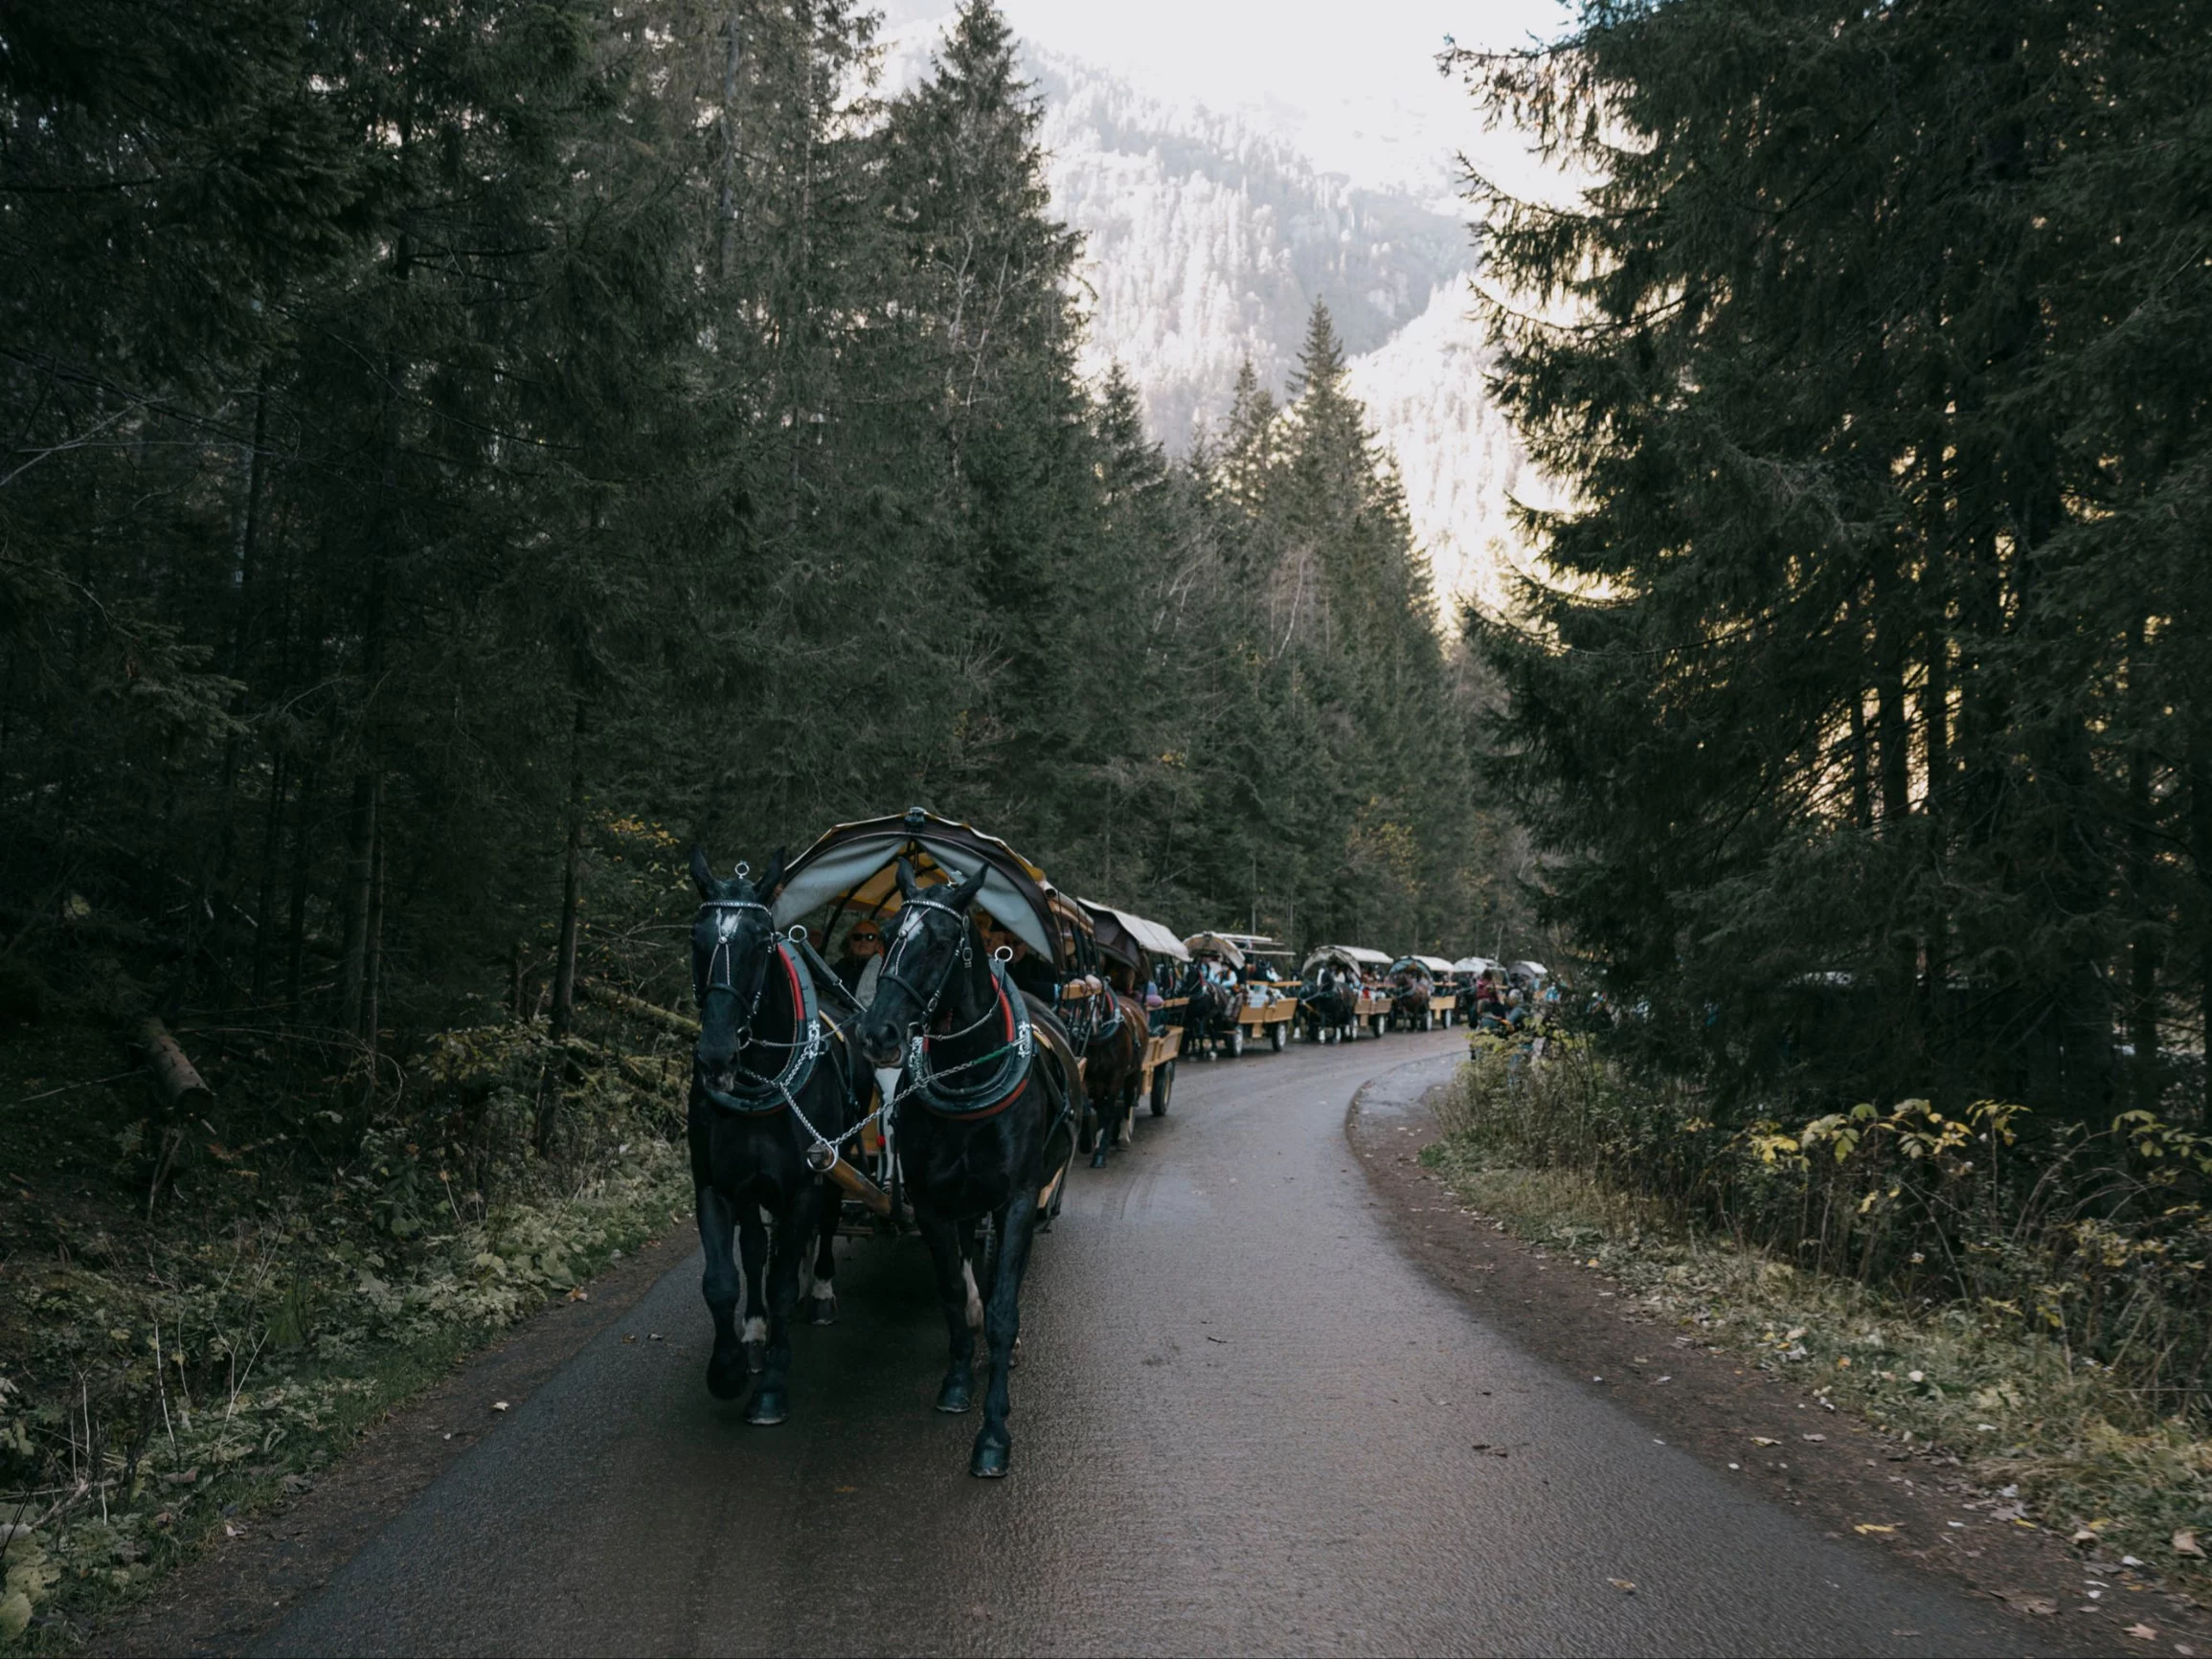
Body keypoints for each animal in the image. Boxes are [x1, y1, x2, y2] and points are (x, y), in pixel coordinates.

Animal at [686, 858, 858, 1433]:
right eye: (695, 936)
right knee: (757, 1250)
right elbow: (723, 1278)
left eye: (761, 941)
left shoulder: (804, 1183)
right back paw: (756, 1331)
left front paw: (771, 1390)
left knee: (825, 1224)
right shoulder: (717, 1185)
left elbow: (783, 1281)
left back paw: (821, 1290)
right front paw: (729, 1368)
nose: (715, 1055)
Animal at [853, 863, 1079, 1477]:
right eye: (885, 936)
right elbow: (953, 1292)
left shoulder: (1018, 1200)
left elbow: (1003, 1312)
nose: (878, 1033)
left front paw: (994, 1433)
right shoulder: (934, 1202)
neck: (967, 1075)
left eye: (938, 942)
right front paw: (956, 1382)